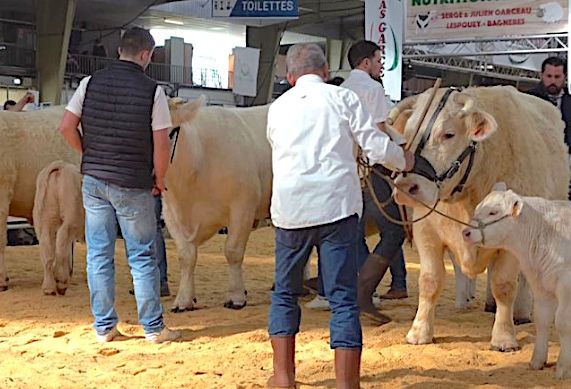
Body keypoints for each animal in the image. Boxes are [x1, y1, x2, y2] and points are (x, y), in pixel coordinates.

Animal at [33, 161, 84, 294]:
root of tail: (61, 166)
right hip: (71, 217)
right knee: (62, 241)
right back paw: (61, 282)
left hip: (44, 218)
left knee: (47, 248)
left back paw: (49, 287)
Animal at [466, 183, 571, 378]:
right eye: (477, 209)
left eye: (493, 212)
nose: (465, 232)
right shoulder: (540, 285)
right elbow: (542, 319)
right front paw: (537, 361)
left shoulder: (565, 285)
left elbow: (562, 322)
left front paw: (564, 367)